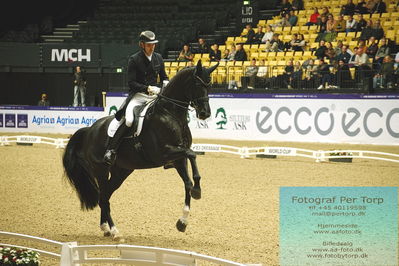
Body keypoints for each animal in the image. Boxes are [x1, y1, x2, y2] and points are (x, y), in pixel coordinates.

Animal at [63, 61, 219, 240]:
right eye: (198, 84)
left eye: (210, 85)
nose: (205, 113)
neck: (171, 115)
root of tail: (89, 130)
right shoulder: (164, 153)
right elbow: (192, 154)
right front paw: (198, 191)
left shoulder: (179, 158)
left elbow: (188, 182)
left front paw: (183, 221)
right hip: (100, 170)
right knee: (103, 197)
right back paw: (115, 232)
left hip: (121, 171)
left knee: (106, 195)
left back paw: (106, 228)